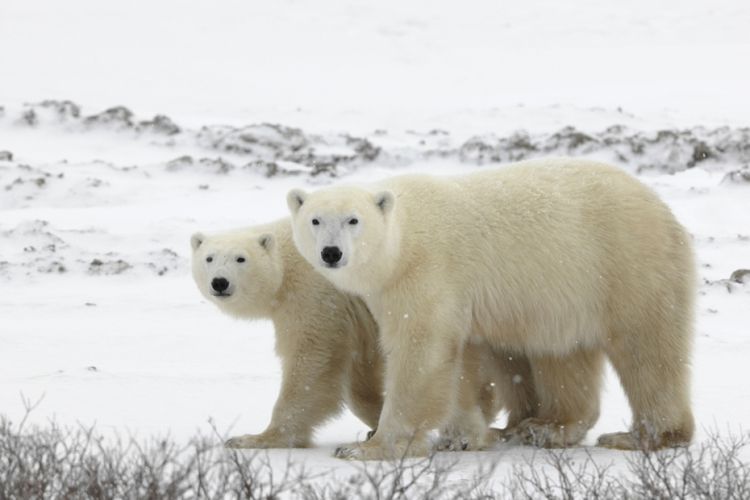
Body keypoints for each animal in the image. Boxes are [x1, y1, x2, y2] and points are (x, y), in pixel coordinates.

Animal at [191, 221, 528, 452]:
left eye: (240, 258)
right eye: (209, 258)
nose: (219, 283)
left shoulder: (317, 296)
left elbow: (313, 361)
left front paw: (255, 438)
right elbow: (359, 371)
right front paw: (375, 424)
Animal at [290, 158, 700, 458]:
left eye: (353, 220)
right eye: (314, 220)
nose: (331, 253)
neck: (403, 242)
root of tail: (661, 206)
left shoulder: (427, 275)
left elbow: (420, 353)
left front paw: (367, 446)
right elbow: (462, 362)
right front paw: (464, 437)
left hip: (627, 264)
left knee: (647, 349)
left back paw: (644, 436)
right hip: (567, 298)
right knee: (562, 356)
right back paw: (543, 427)